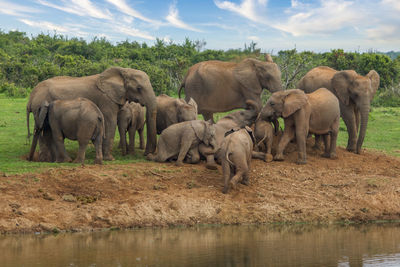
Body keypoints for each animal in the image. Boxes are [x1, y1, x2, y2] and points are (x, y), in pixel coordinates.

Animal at [26, 68, 158, 162]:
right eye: (139, 88)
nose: (147, 154)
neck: (123, 70)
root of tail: (31, 95)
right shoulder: (106, 99)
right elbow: (110, 122)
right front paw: (109, 159)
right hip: (40, 106)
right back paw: (46, 160)